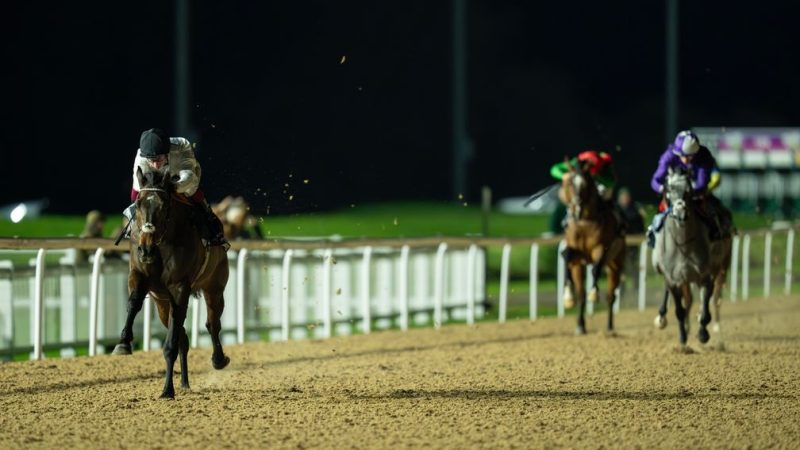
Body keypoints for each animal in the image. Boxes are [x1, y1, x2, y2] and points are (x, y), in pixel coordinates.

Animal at [112, 167, 231, 399]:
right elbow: (134, 302)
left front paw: (167, 390)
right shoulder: (139, 274)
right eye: (139, 203)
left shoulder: (179, 287)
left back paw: (219, 360)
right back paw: (184, 381)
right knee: (183, 336)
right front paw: (123, 343)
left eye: (164, 205)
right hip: (162, 304)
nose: (146, 249)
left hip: (215, 286)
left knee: (212, 324)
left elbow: (171, 344)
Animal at [559, 159, 626, 335]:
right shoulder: (576, 255)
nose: (577, 208)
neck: (584, 224)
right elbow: (567, 256)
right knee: (582, 292)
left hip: (616, 263)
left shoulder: (600, 249)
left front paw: (594, 294)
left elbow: (596, 269)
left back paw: (610, 327)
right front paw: (569, 298)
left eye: (585, 184)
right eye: (569, 183)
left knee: (610, 296)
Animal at [651, 167, 716, 347]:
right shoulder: (673, 279)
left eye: (688, 190)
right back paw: (661, 317)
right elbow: (679, 310)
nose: (681, 212)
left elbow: (705, 309)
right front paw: (682, 338)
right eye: (669, 188)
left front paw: (703, 334)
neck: (683, 245)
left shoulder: (705, 275)